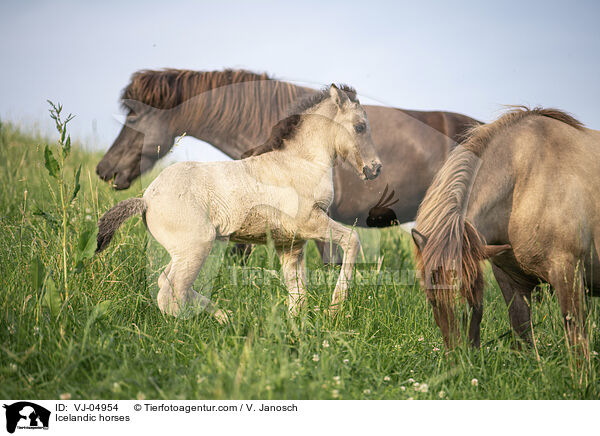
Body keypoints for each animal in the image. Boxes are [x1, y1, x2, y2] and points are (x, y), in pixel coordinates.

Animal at [96, 86, 382, 324]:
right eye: (360, 127)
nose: (375, 168)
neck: (300, 162)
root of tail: (145, 198)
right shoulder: (310, 223)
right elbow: (353, 240)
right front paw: (336, 307)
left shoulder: (290, 244)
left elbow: (297, 291)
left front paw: (296, 328)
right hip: (197, 246)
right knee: (172, 288)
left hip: (184, 251)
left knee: (167, 283)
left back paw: (225, 317)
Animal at [412, 106, 600, 350]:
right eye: (432, 301)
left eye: (468, 300)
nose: (458, 356)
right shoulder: (511, 280)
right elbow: (522, 334)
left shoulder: (568, 274)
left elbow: (578, 342)